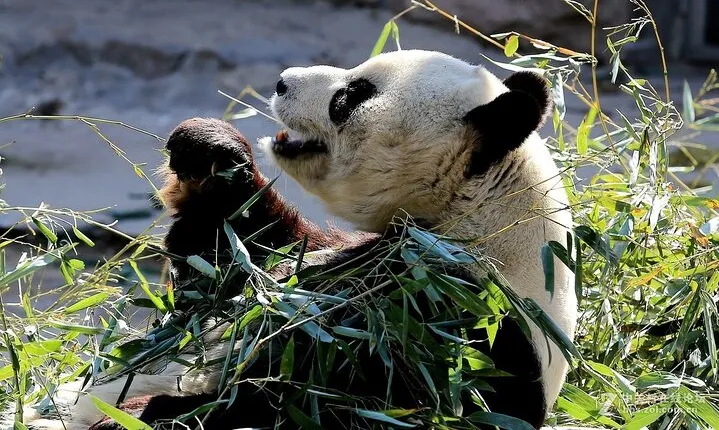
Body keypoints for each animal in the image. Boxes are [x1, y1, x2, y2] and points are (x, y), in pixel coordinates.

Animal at [24, 50, 576, 430]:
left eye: (349, 96)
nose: (281, 80)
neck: (481, 212)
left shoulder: (446, 324)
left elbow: (299, 397)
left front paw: (143, 411)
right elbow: (241, 255)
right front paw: (210, 150)